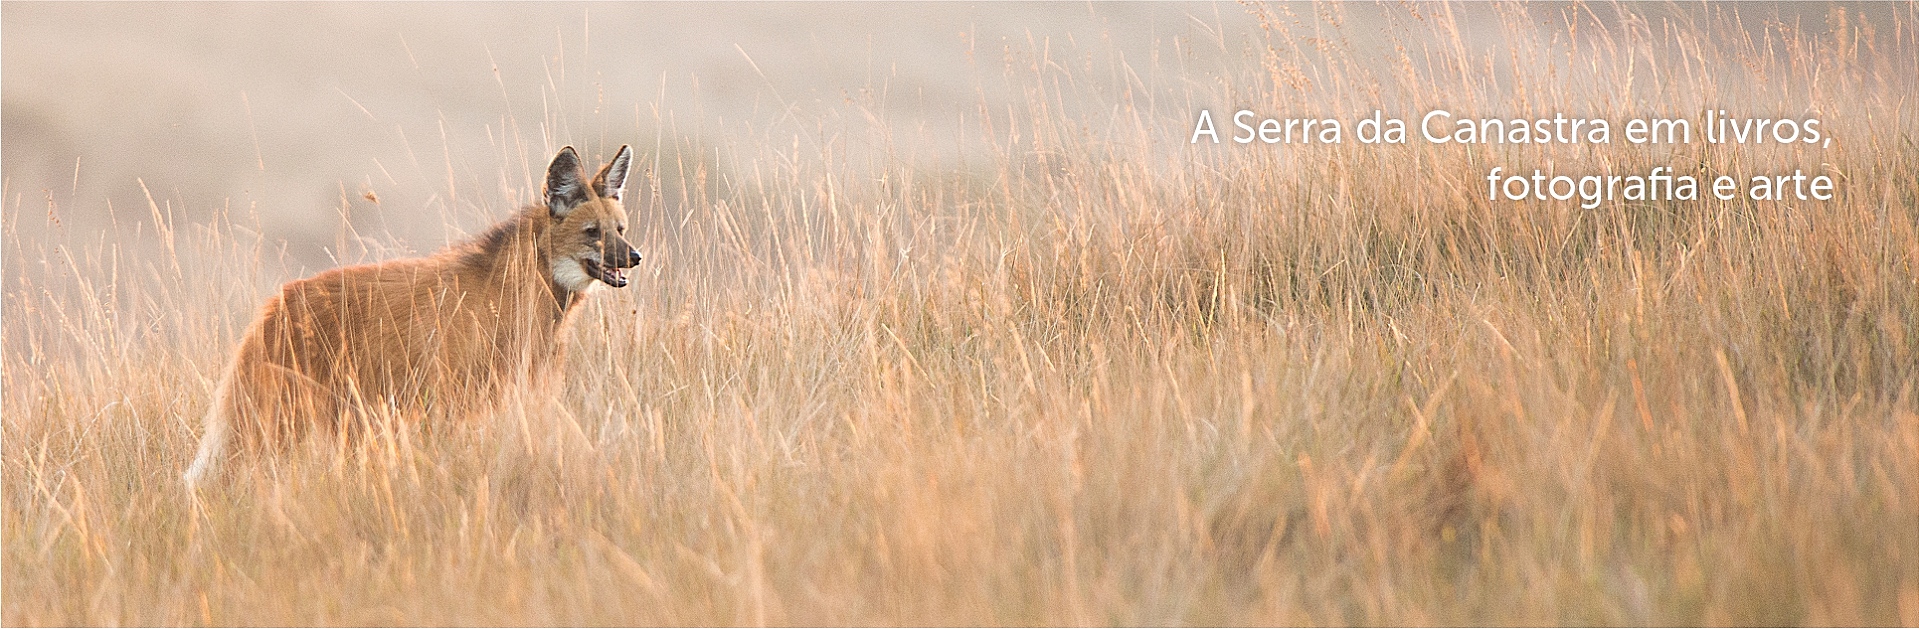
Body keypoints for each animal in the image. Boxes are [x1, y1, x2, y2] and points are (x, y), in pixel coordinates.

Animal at [183, 145, 642, 488]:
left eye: (620, 229)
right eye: (593, 233)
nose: (635, 257)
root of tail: (273, 305)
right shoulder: (451, 403)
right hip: (283, 424)